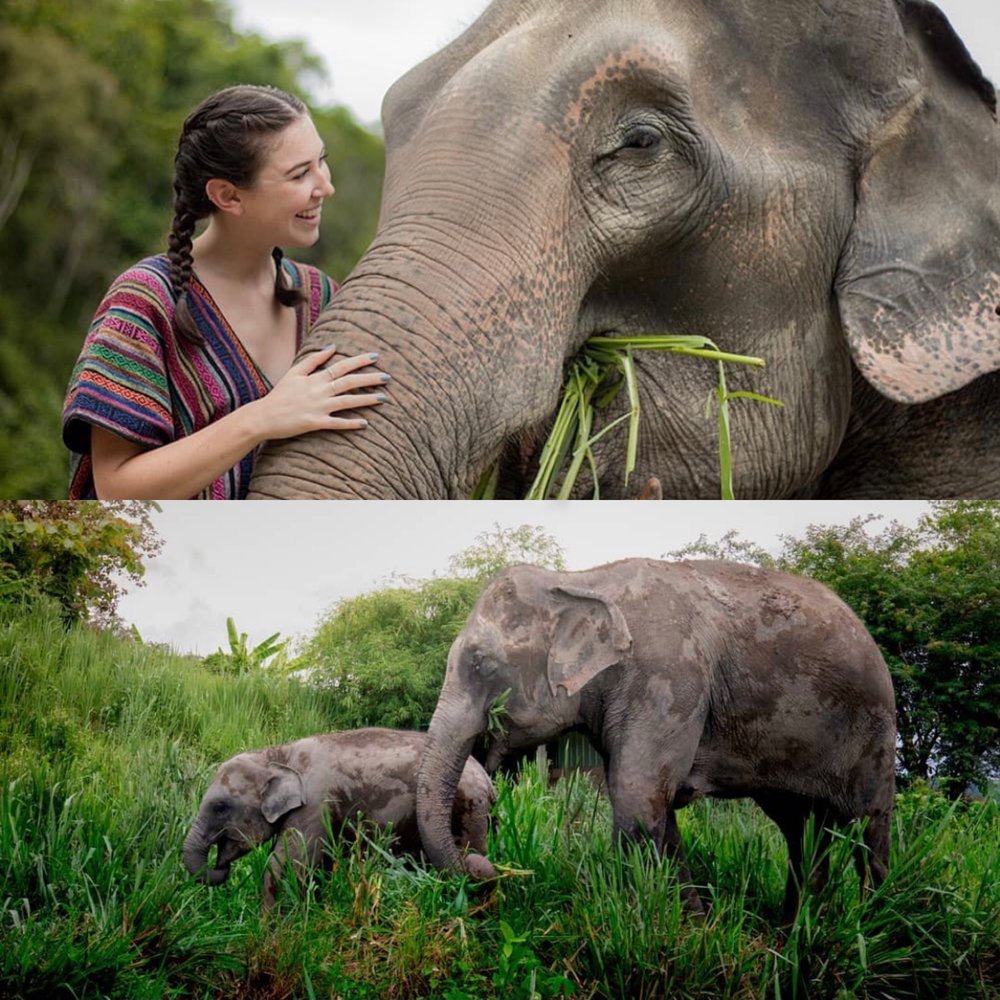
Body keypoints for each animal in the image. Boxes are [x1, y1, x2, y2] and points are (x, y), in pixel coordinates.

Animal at [182, 728, 494, 910]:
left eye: (220, 807)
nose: (221, 867)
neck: (278, 753)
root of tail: (490, 784)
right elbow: (319, 865)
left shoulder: (315, 802)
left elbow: (287, 863)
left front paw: (270, 929)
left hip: (469, 810)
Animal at [415, 559, 897, 919]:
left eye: (481, 663)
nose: (485, 866)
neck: (580, 579)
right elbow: (649, 806)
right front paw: (699, 926)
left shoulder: (667, 680)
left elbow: (637, 800)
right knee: (802, 831)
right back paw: (795, 932)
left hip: (873, 730)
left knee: (868, 828)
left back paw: (871, 926)